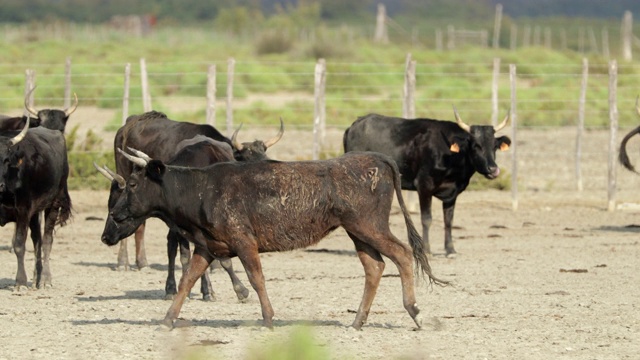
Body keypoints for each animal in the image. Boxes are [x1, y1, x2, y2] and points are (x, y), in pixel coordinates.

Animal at [0, 121, 72, 290]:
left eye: (6, 160)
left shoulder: (22, 211)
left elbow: (19, 245)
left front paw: (20, 282)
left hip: (53, 204)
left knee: (46, 241)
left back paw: (45, 279)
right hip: (34, 212)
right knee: (37, 240)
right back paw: (37, 277)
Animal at [342, 107, 512, 256]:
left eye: (495, 146)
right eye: (476, 146)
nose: (493, 169)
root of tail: (357, 123)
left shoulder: (452, 193)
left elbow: (449, 220)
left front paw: (450, 250)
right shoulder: (424, 186)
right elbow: (426, 219)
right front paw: (427, 249)